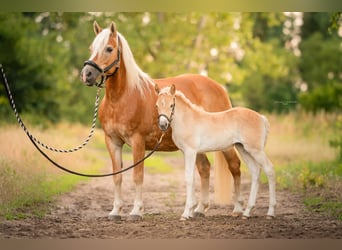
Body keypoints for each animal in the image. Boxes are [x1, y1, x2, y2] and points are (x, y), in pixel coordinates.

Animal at [80, 21, 242, 221]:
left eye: (109, 48)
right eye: (91, 48)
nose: (86, 74)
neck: (123, 97)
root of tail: (219, 87)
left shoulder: (138, 142)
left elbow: (138, 176)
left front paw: (136, 211)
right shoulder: (112, 142)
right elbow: (117, 177)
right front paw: (115, 211)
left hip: (226, 145)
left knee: (234, 166)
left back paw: (238, 209)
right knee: (204, 168)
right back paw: (199, 209)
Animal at [156, 84, 276, 221]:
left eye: (171, 105)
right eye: (157, 105)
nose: (163, 125)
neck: (187, 120)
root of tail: (261, 117)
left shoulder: (190, 151)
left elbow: (189, 178)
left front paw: (185, 214)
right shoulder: (185, 152)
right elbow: (191, 177)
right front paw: (191, 211)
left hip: (256, 150)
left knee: (269, 169)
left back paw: (270, 212)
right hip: (243, 149)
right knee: (255, 171)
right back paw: (247, 212)